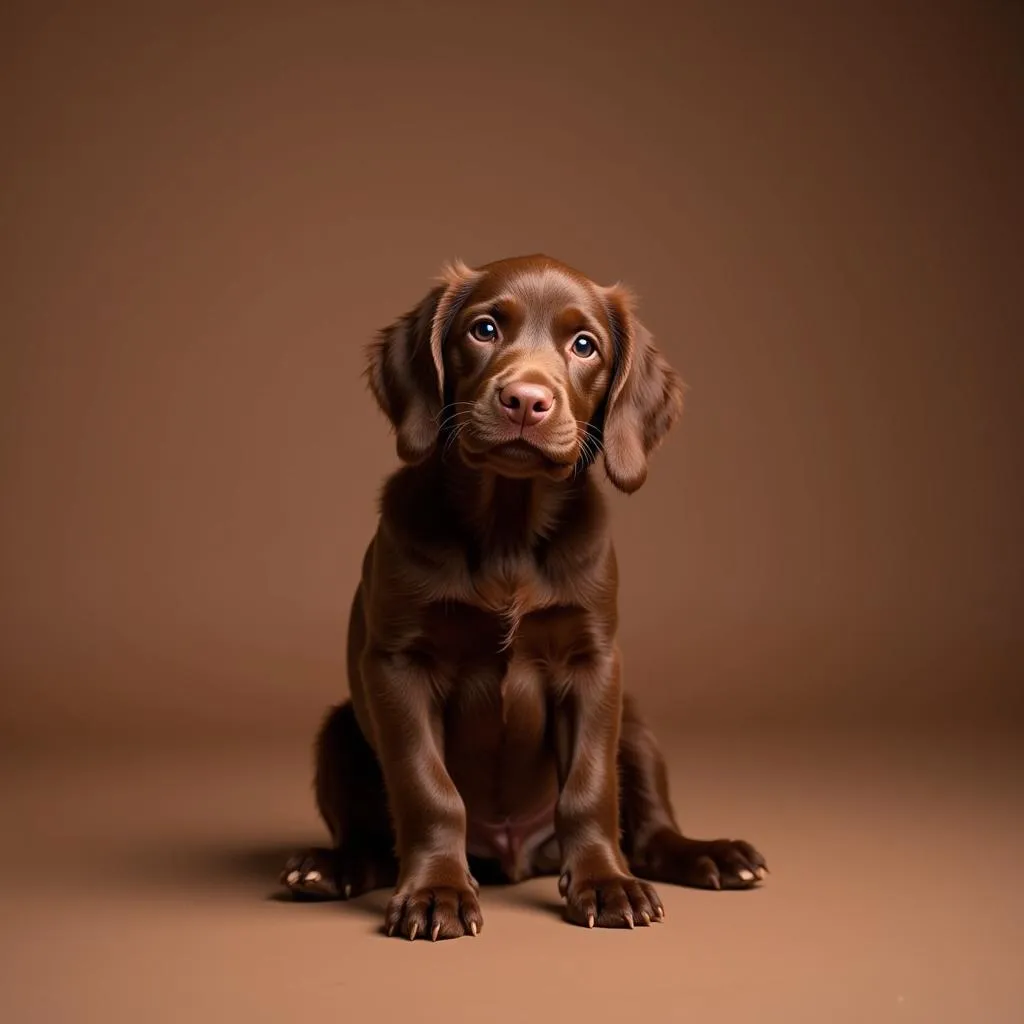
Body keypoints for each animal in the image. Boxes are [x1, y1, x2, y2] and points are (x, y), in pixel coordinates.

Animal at [284, 253, 765, 937]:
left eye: (584, 345)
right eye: (484, 329)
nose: (525, 401)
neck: (507, 525)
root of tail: (513, 854)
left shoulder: (594, 664)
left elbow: (590, 787)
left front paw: (606, 884)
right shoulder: (398, 666)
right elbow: (427, 787)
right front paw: (436, 891)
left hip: (634, 722)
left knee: (649, 832)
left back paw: (711, 855)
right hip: (340, 730)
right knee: (372, 841)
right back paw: (329, 867)